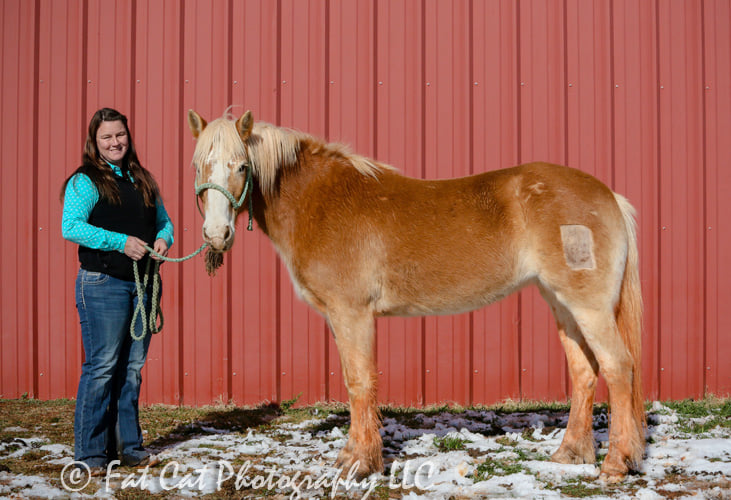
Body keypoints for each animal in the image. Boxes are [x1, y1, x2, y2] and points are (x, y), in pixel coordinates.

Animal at [187, 108, 648, 480]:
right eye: (197, 166)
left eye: (241, 167)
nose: (216, 235)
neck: (321, 201)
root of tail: (608, 196)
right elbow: (355, 381)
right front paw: (354, 457)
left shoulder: (352, 314)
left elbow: (360, 382)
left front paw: (360, 464)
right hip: (562, 305)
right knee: (585, 372)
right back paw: (571, 454)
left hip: (589, 308)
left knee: (618, 368)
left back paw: (616, 464)